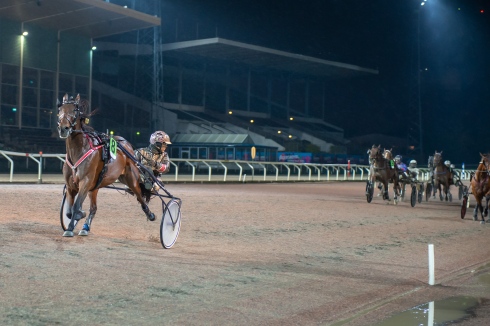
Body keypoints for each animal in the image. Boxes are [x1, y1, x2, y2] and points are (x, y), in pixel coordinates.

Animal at [57, 94, 155, 237]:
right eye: (60, 110)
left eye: (75, 110)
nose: (63, 128)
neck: (79, 150)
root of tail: (125, 143)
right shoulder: (71, 185)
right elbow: (69, 211)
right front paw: (76, 218)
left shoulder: (85, 181)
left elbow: (76, 206)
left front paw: (70, 227)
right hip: (96, 186)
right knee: (93, 208)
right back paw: (85, 228)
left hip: (131, 178)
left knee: (140, 196)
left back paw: (150, 214)